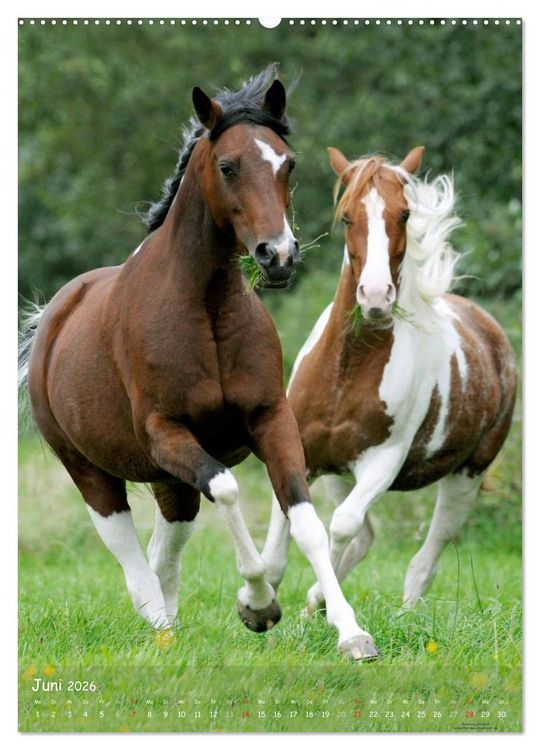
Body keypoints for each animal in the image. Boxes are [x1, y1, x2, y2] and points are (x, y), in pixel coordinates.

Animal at [19, 68, 375, 660]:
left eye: (288, 163)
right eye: (228, 166)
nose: (279, 256)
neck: (203, 307)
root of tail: (50, 319)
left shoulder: (271, 420)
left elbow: (306, 522)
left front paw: (351, 633)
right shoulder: (167, 432)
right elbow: (228, 489)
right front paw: (258, 604)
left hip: (171, 481)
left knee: (167, 544)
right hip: (92, 471)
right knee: (129, 552)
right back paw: (159, 625)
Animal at [261, 145, 517, 653]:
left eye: (404, 213)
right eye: (346, 216)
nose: (376, 297)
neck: (347, 370)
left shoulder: (384, 462)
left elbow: (340, 526)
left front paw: (337, 619)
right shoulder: (302, 454)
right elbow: (291, 540)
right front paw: (266, 605)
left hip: (466, 478)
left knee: (424, 557)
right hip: (340, 474)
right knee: (365, 538)